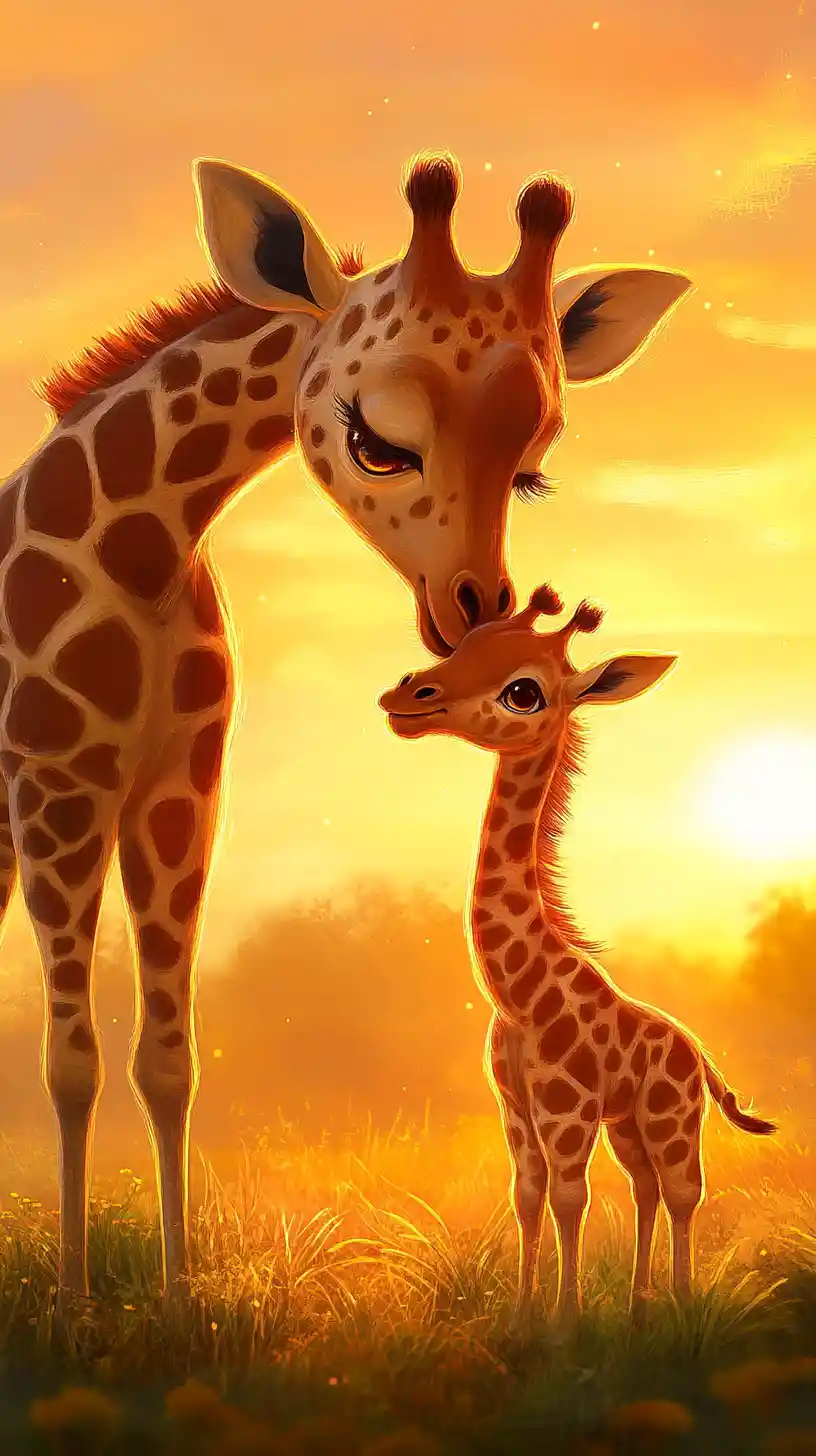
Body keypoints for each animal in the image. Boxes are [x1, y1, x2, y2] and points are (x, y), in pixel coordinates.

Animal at [0, 150, 691, 1306]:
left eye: (535, 463)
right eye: (377, 440)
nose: (473, 612)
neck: (141, 546)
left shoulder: (181, 793)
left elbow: (167, 1059)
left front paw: (179, 1297)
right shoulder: (59, 781)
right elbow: (71, 1060)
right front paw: (75, 1306)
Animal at [379, 587, 776, 1317]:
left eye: (523, 692)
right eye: (466, 642)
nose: (406, 696)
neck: (518, 992)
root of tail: (700, 1055)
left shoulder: (567, 1105)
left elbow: (570, 1198)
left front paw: (566, 1319)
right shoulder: (515, 1107)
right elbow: (528, 1198)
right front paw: (525, 1315)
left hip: (673, 1115)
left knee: (684, 1190)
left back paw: (679, 1299)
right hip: (630, 1123)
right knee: (646, 1188)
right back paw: (641, 1302)